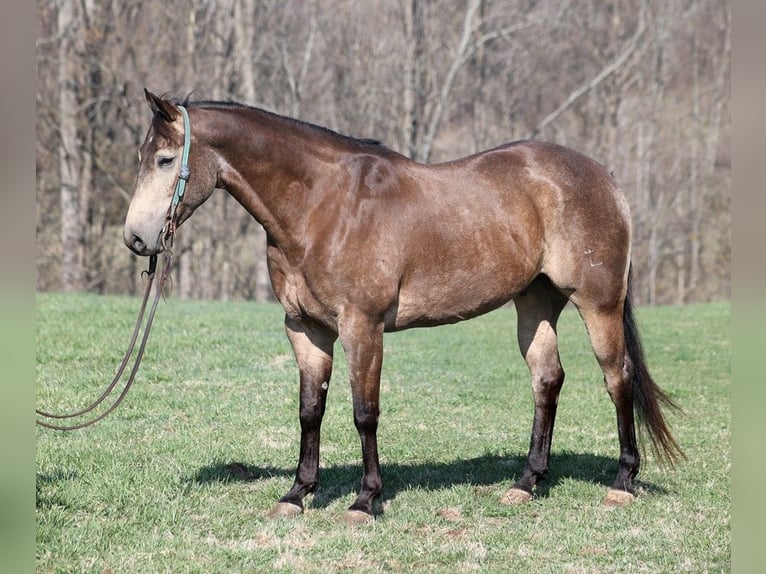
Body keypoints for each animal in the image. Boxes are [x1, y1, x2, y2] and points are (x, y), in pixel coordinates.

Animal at [126, 90, 684, 528]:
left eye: (165, 160)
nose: (136, 238)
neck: (322, 206)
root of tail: (602, 175)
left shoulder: (362, 327)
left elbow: (364, 413)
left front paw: (365, 501)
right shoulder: (305, 330)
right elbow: (310, 411)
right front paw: (297, 494)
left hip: (599, 303)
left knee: (618, 378)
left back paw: (622, 482)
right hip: (535, 303)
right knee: (547, 380)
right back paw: (526, 483)